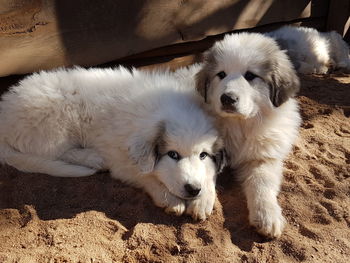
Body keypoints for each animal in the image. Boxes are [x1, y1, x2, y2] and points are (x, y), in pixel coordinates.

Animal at [0, 66, 224, 221]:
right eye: (173, 154)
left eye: (203, 155)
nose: (193, 189)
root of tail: (5, 115)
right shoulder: (119, 158)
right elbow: (144, 176)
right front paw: (171, 199)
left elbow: (211, 172)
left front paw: (202, 200)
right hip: (55, 122)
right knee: (56, 152)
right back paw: (93, 158)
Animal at [178, 32, 300, 238]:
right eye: (221, 74)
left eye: (250, 76)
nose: (227, 98)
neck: (239, 125)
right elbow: (204, 168)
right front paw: (201, 201)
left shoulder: (263, 158)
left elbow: (262, 183)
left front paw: (267, 216)